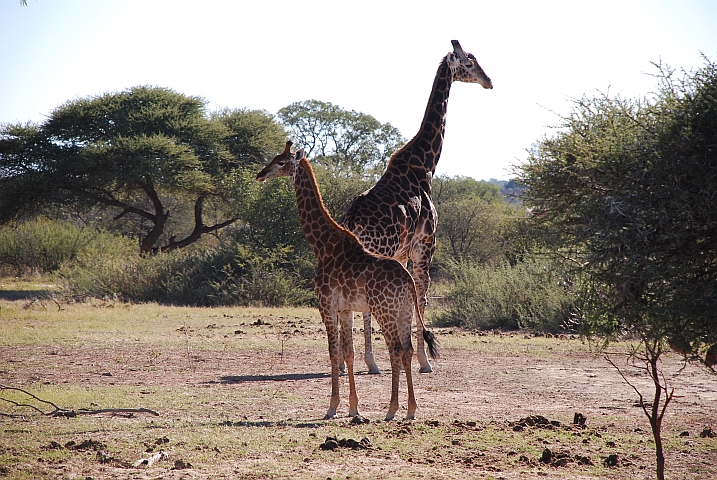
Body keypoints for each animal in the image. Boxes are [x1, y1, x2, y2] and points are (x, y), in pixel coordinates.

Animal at [338, 39, 490, 374]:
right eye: (469, 62)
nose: (489, 81)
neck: (426, 164)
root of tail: (352, 221)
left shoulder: (404, 253)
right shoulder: (425, 245)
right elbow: (421, 296)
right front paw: (424, 360)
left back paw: (346, 362)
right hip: (378, 253)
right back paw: (369, 362)